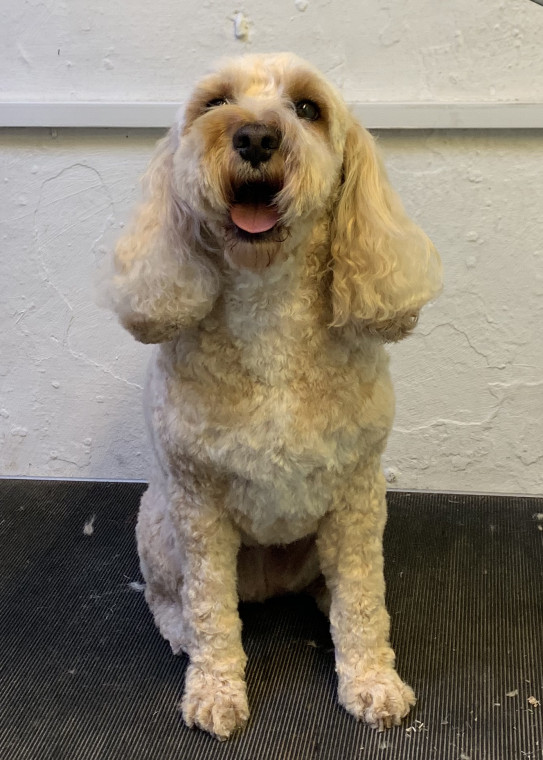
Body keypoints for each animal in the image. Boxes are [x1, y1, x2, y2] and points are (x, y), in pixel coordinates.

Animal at [107, 52, 442, 740]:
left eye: (307, 109)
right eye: (214, 103)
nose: (256, 137)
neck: (270, 307)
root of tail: (266, 583)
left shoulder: (357, 497)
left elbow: (364, 602)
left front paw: (372, 680)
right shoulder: (199, 506)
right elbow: (211, 609)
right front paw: (215, 690)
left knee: (338, 587)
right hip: (159, 521)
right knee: (168, 598)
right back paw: (180, 631)